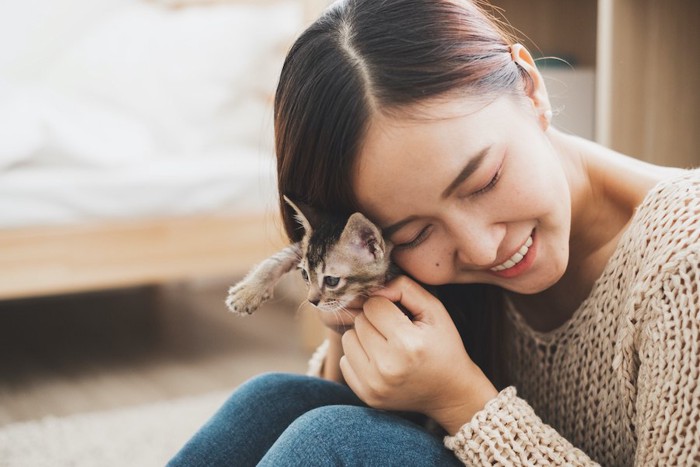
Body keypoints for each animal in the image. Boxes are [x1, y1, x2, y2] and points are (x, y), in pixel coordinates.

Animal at [227, 196, 396, 320]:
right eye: (304, 274)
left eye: (332, 281)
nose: (312, 301)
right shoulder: (301, 248)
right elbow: (278, 258)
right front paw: (249, 292)